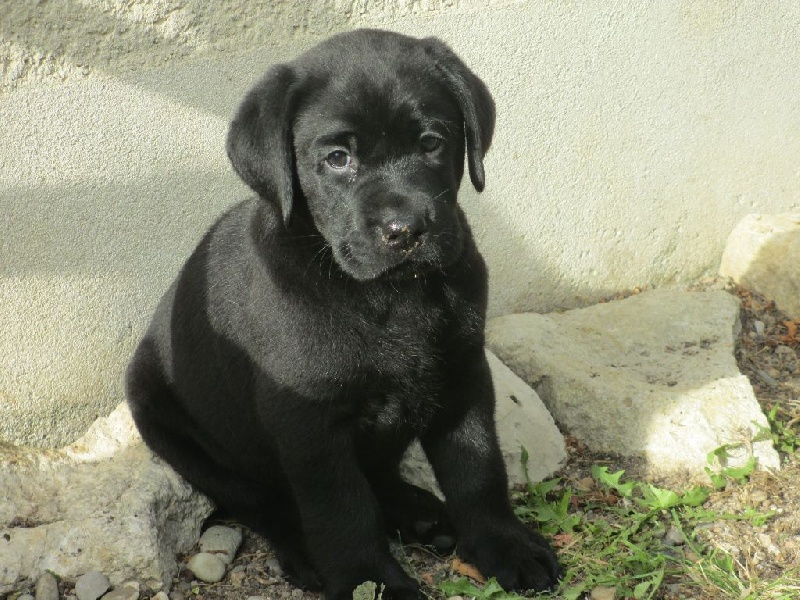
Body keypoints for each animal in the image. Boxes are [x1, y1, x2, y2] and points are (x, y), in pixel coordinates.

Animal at [126, 29, 560, 600]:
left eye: (432, 142)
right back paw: (311, 552)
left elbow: (478, 465)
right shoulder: (310, 423)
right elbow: (342, 513)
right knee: (265, 502)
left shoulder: (463, 372)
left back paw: (418, 513)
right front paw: (371, 584)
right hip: (174, 429)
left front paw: (504, 545)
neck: (390, 295)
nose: (405, 230)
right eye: (337, 158)